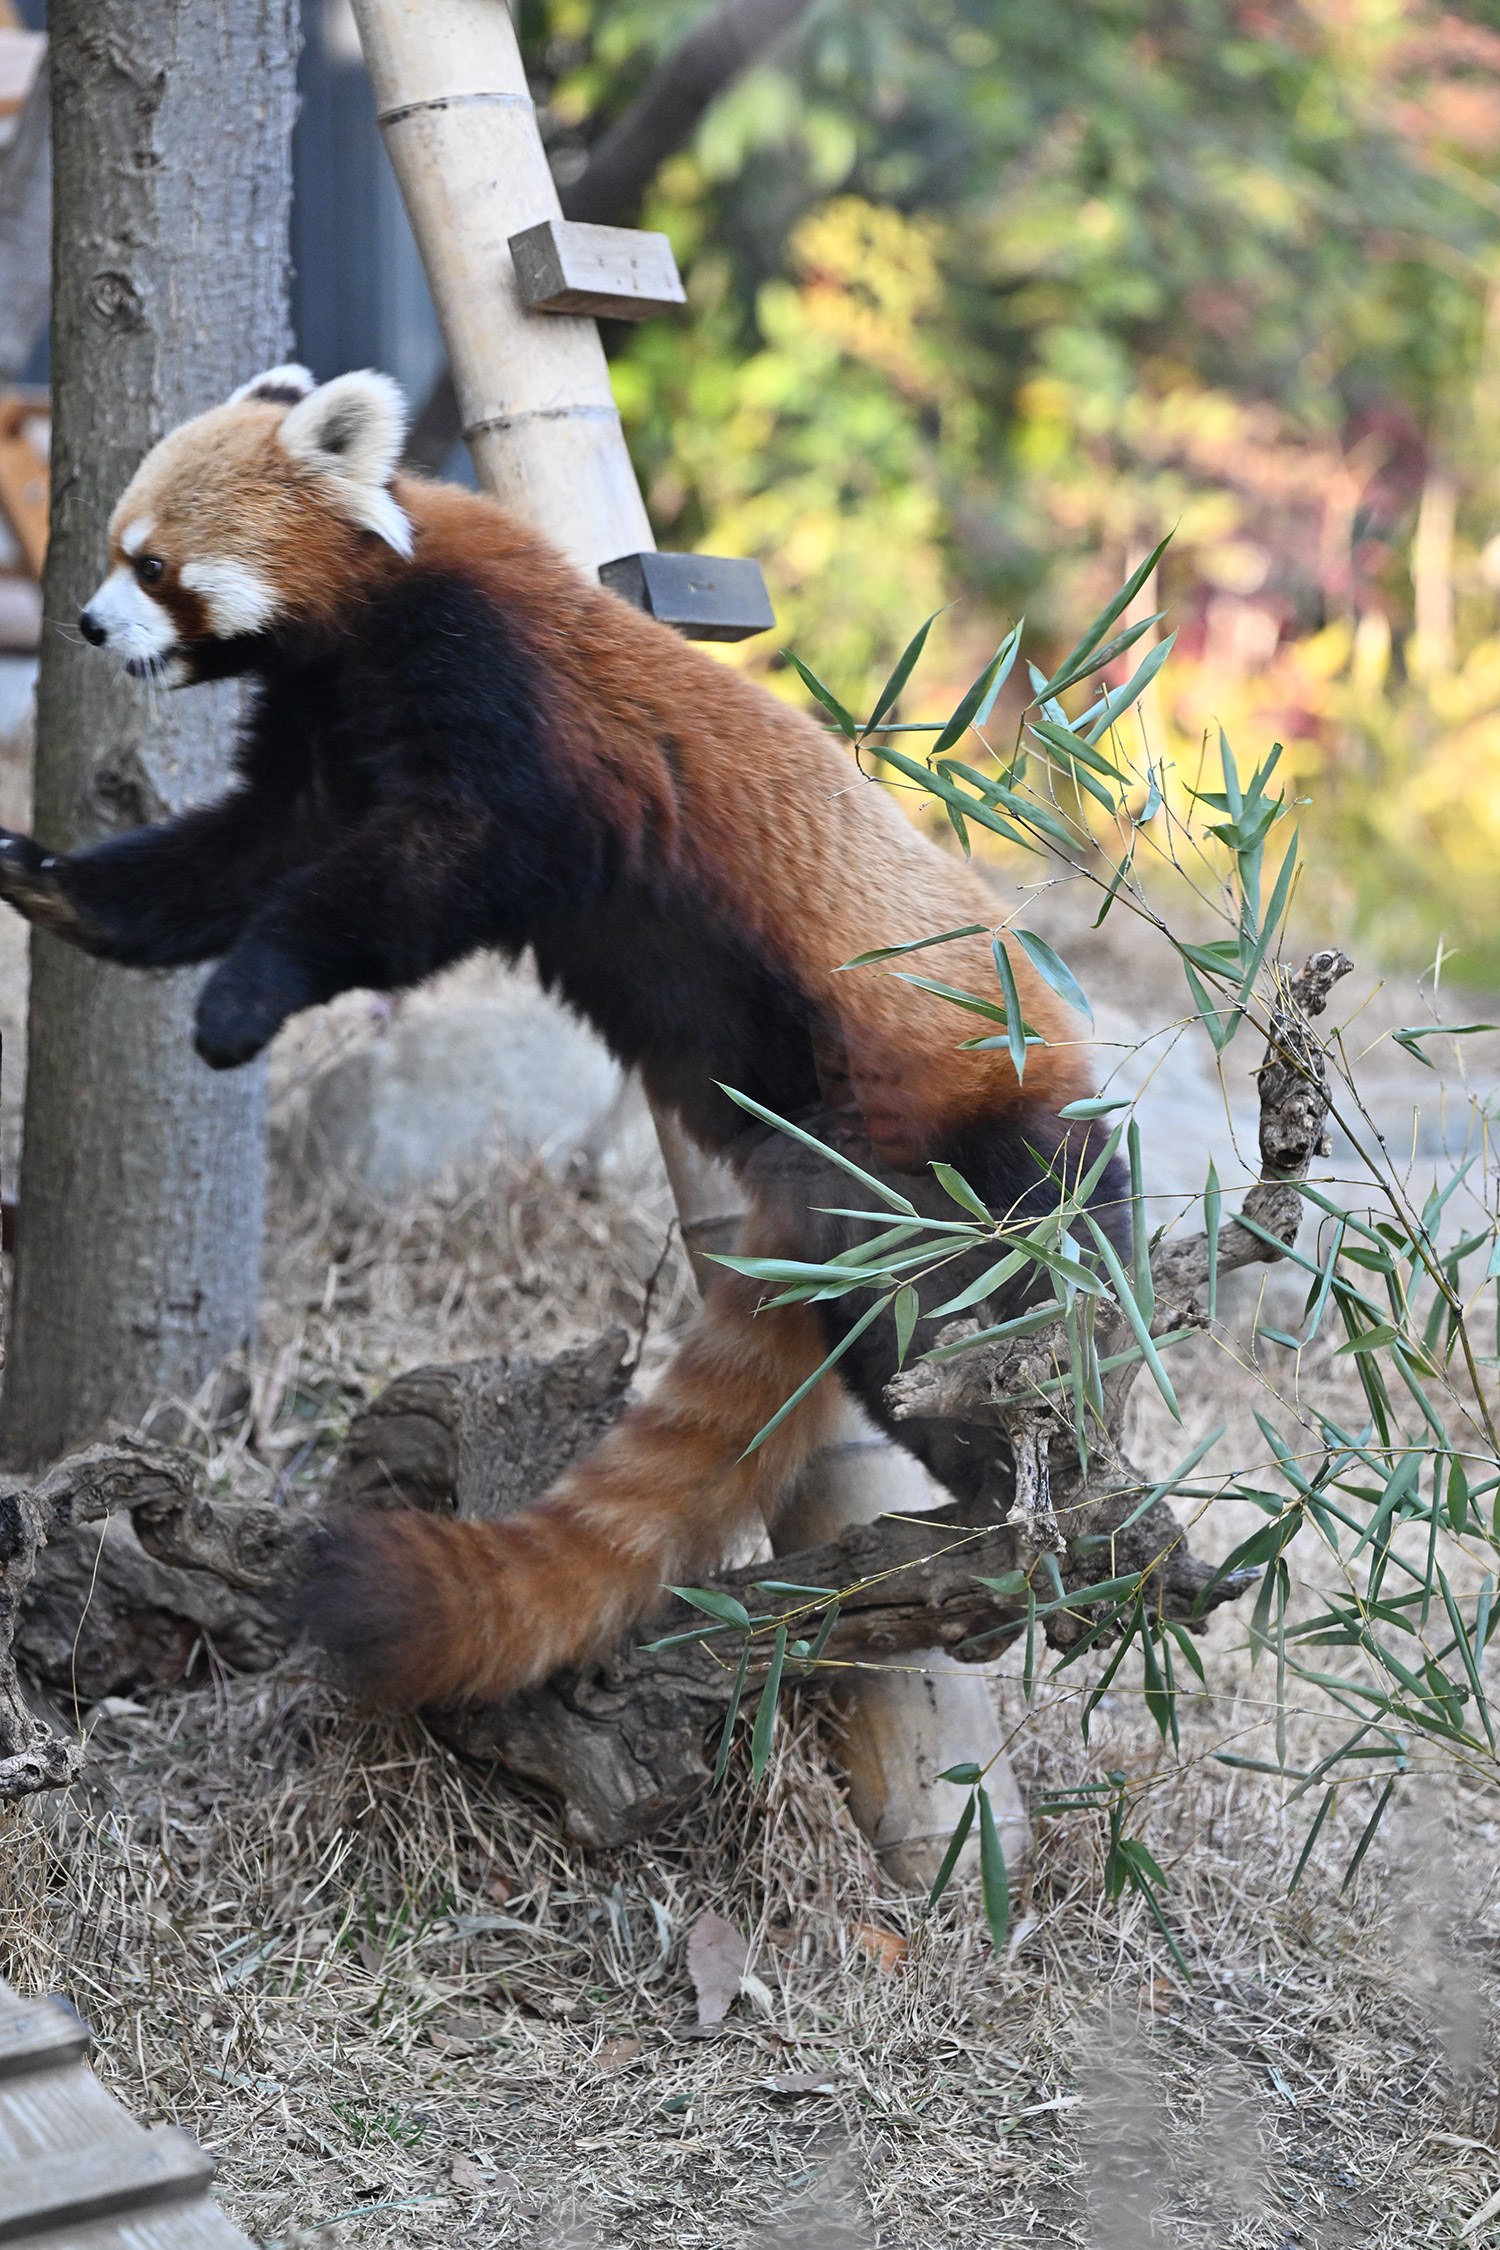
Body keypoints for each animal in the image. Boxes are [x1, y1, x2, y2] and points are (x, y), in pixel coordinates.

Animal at [0, 364, 1125, 1707]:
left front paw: (238, 1000)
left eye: (155, 565)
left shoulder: (502, 705)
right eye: (119, 550)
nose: (85, 626)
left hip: (969, 1149)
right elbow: (236, 856)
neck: (368, 616)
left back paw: (1046, 1472)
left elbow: (414, 881)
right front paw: (51, 882)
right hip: (843, 1187)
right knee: (892, 1319)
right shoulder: (320, 740)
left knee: (991, 1307)